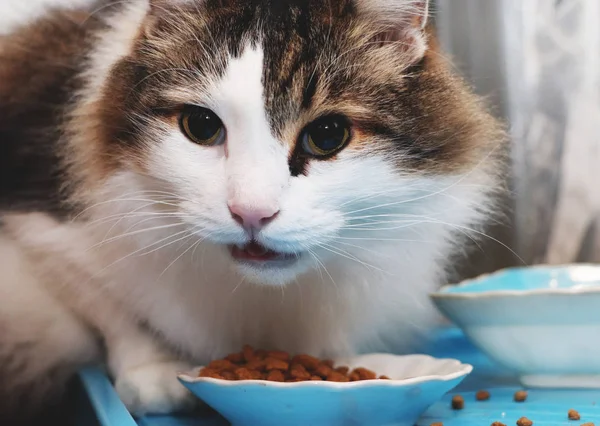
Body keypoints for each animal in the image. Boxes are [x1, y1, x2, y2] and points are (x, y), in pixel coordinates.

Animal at [0, 0, 504, 422]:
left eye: (327, 136)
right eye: (201, 127)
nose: (251, 214)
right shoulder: (39, 230)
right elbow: (113, 309)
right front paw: (153, 370)